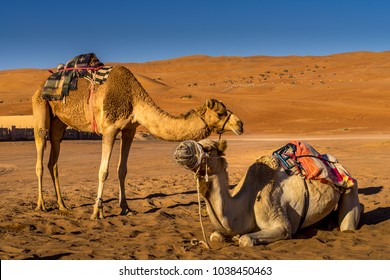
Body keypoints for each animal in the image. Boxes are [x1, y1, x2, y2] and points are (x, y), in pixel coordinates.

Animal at [32, 65, 244, 219]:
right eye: (220, 113)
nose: (240, 124)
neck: (134, 100)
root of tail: (40, 86)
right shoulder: (109, 129)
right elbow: (104, 171)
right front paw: (97, 211)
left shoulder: (129, 130)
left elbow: (122, 170)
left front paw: (125, 208)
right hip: (40, 108)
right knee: (41, 154)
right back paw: (41, 205)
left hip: (59, 122)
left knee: (53, 160)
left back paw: (62, 205)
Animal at [174, 139, 362, 246]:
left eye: (208, 148)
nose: (181, 148)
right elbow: (215, 236)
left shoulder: (280, 223)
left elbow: (246, 239)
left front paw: (238, 238)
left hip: (350, 184)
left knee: (348, 223)